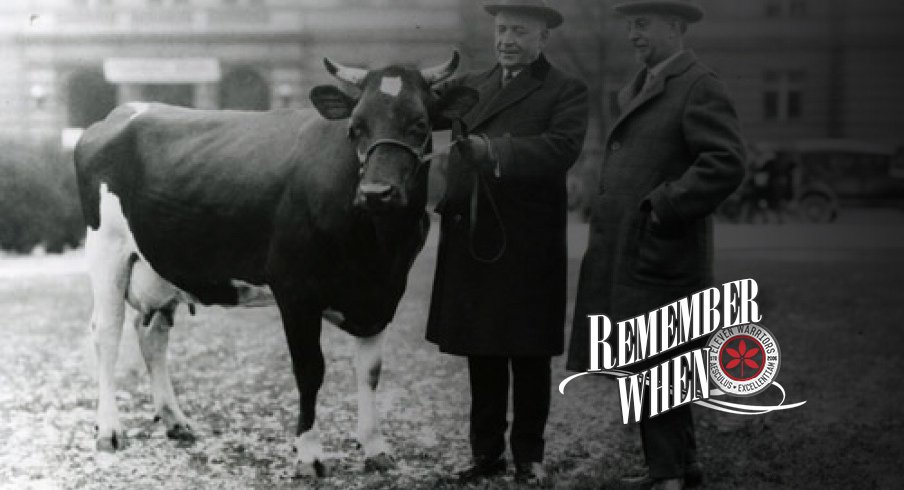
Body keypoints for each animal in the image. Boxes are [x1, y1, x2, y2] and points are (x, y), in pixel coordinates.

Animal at [74, 51, 480, 476]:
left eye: (420, 124)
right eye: (355, 128)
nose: (376, 192)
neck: (377, 247)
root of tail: (123, 112)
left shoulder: (382, 294)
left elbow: (369, 371)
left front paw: (375, 447)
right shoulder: (296, 290)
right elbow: (310, 369)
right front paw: (309, 454)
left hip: (161, 266)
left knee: (151, 334)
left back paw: (175, 421)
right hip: (106, 249)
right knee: (107, 333)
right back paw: (109, 431)